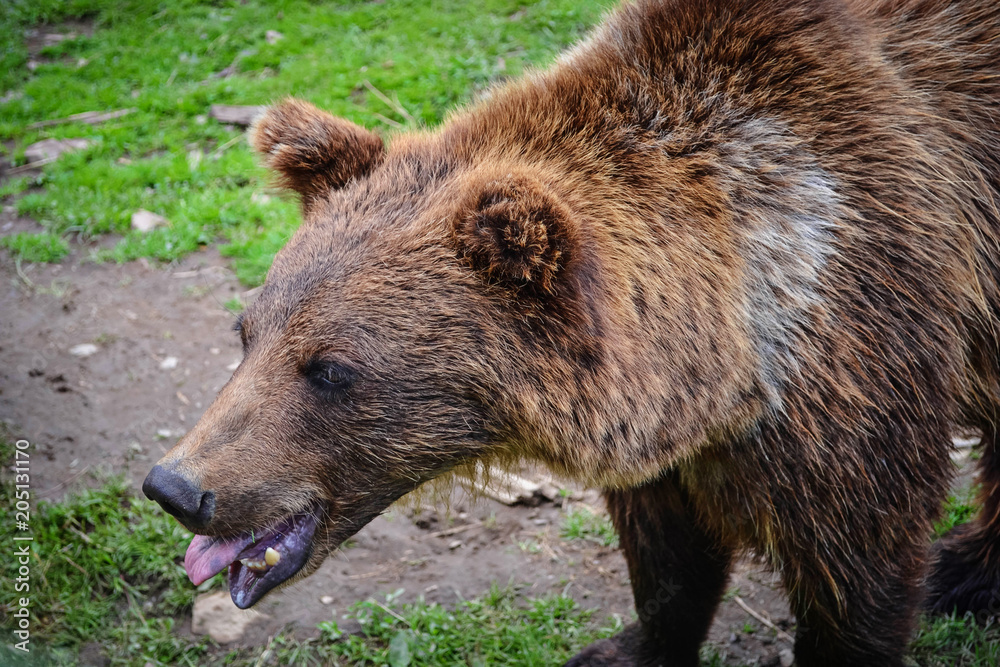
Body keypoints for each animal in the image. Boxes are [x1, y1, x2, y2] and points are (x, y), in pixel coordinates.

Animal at [143, 0, 1000, 664]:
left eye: (330, 368)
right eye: (247, 332)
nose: (176, 487)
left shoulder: (856, 344)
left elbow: (856, 568)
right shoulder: (674, 423)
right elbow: (666, 554)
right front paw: (630, 645)